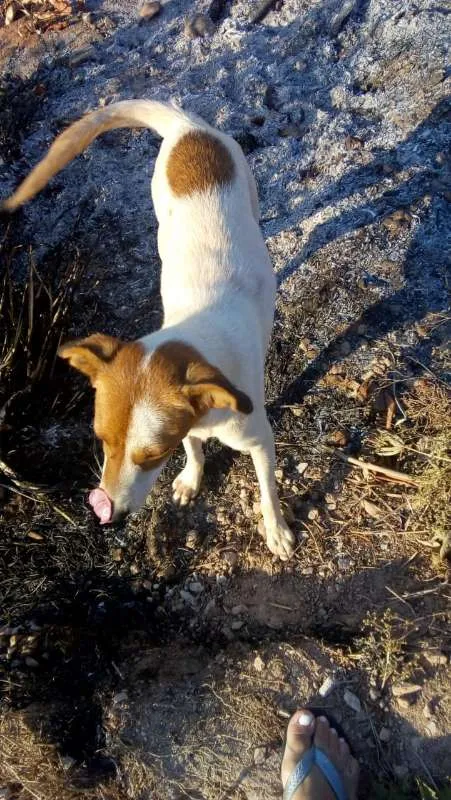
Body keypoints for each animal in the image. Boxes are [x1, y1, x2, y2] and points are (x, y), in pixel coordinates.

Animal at [5, 100, 298, 560]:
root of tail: (186, 125)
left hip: (246, 185)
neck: (196, 334)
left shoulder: (259, 440)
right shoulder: (188, 427)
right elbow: (194, 449)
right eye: (101, 440)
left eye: (152, 455)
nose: (109, 514)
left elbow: (268, 490)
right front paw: (192, 479)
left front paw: (277, 531)